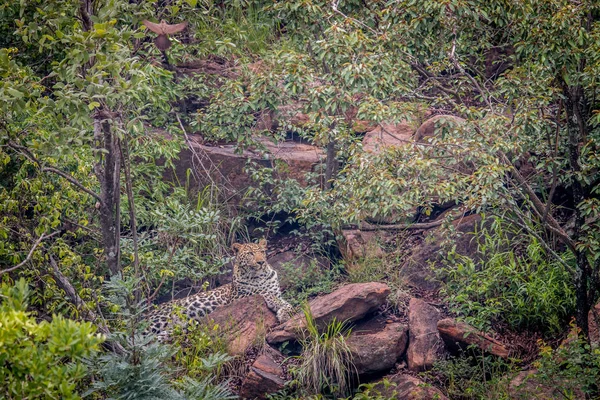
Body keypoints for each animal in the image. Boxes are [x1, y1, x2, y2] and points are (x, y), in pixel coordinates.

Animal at [146, 239, 294, 340]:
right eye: (250, 254)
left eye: (262, 252)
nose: (261, 262)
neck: (259, 276)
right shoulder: (236, 298)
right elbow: (262, 292)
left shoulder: (277, 293)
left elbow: (287, 303)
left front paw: (285, 313)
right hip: (160, 319)